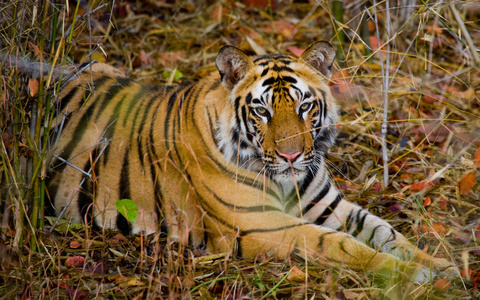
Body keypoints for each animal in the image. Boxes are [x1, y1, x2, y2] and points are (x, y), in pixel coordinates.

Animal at [40, 41, 454, 282]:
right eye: (262, 111)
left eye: (304, 106)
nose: (291, 155)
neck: (288, 181)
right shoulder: (258, 224)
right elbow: (339, 245)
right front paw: (408, 273)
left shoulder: (329, 206)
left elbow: (386, 232)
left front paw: (442, 266)